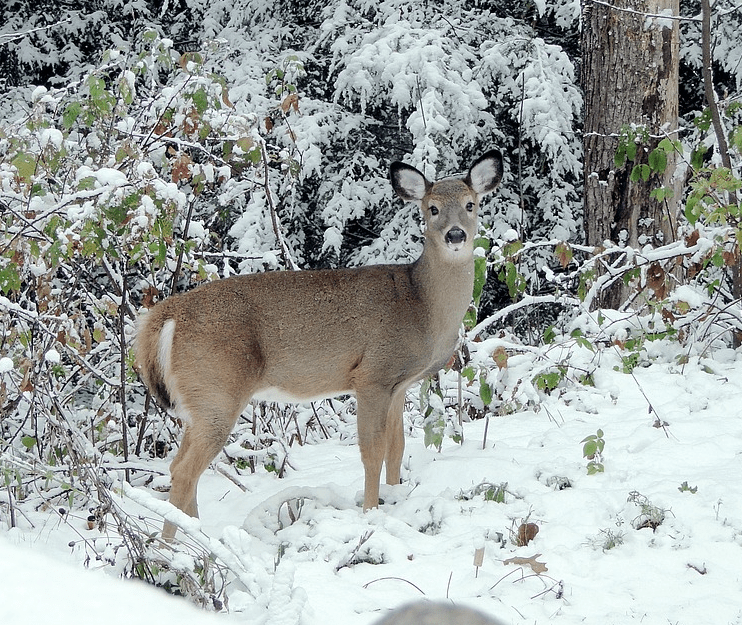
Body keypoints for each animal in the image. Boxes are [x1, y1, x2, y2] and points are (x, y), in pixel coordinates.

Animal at [134, 151, 503, 539]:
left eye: (471, 204)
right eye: (432, 208)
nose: (455, 234)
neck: (422, 305)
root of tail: (168, 313)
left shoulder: (399, 384)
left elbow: (397, 448)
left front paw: (393, 498)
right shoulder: (372, 375)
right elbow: (372, 451)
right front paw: (371, 512)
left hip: (198, 400)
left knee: (178, 465)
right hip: (216, 388)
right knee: (184, 471)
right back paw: (174, 546)